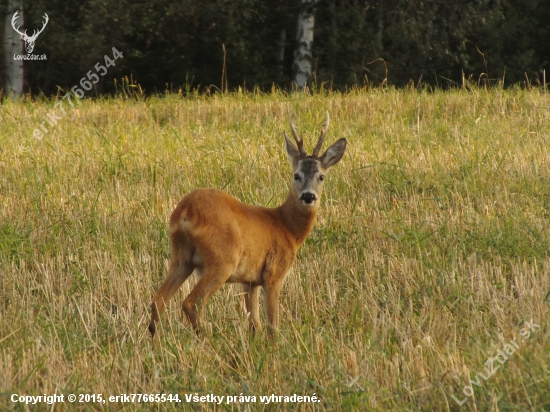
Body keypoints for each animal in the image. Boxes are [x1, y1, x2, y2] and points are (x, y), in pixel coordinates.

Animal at [149, 113, 348, 338]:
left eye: (321, 176)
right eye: (296, 175)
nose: (308, 196)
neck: (288, 229)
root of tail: (185, 211)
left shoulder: (250, 281)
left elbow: (254, 323)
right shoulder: (274, 273)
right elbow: (272, 325)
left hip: (181, 257)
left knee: (158, 300)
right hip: (223, 259)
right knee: (191, 302)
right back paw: (207, 338)